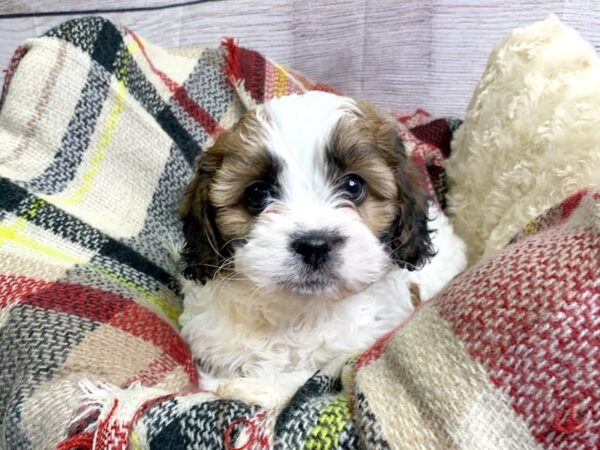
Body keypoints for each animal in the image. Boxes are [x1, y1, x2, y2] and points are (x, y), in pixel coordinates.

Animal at [176, 91, 466, 408]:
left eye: (353, 185)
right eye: (257, 194)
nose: (314, 245)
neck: (300, 313)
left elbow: (308, 377)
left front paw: (256, 388)